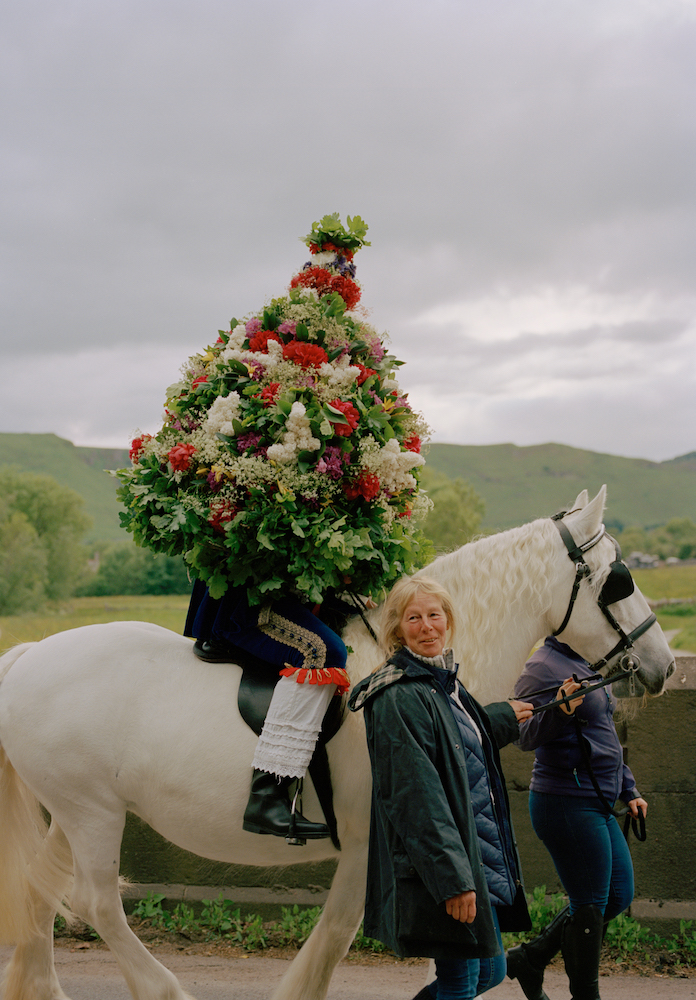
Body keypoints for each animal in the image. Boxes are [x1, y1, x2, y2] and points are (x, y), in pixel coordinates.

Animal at [0, 488, 676, 1000]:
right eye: (618, 581)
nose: (664, 663)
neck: (408, 665)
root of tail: (30, 655)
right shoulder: (368, 841)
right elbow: (337, 934)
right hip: (91, 812)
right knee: (95, 902)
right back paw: (161, 989)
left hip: (76, 811)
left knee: (41, 886)